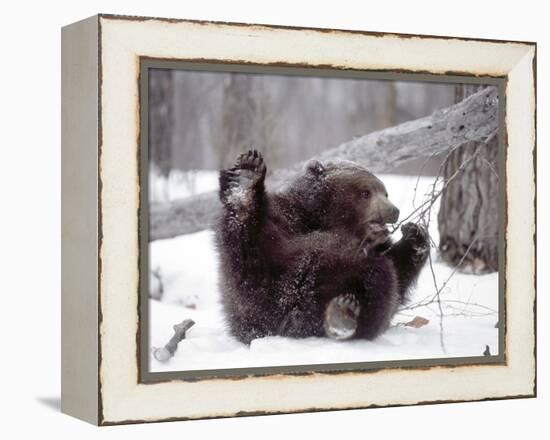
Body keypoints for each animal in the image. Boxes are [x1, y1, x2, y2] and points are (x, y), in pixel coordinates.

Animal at [216, 150, 432, 346]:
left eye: (385, 192)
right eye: (365, 192)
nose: (393, 210)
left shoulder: (377, 247)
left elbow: (398, 275)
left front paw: (416, 236)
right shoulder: (286, 220)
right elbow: (250, 261)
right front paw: (245, 178)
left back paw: (342, 315)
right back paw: (245, 183)